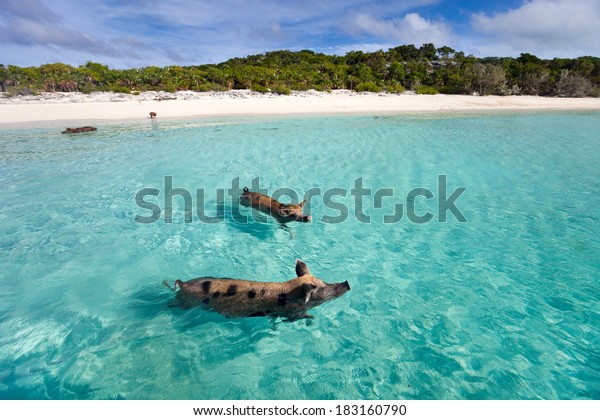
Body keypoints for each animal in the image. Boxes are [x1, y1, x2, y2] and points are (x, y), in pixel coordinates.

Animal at [164, 258, 352, 320]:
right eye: (322, 289)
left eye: (324, 281)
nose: (347, 283)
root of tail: (182, 283)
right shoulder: (290, 312)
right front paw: (312, 317)